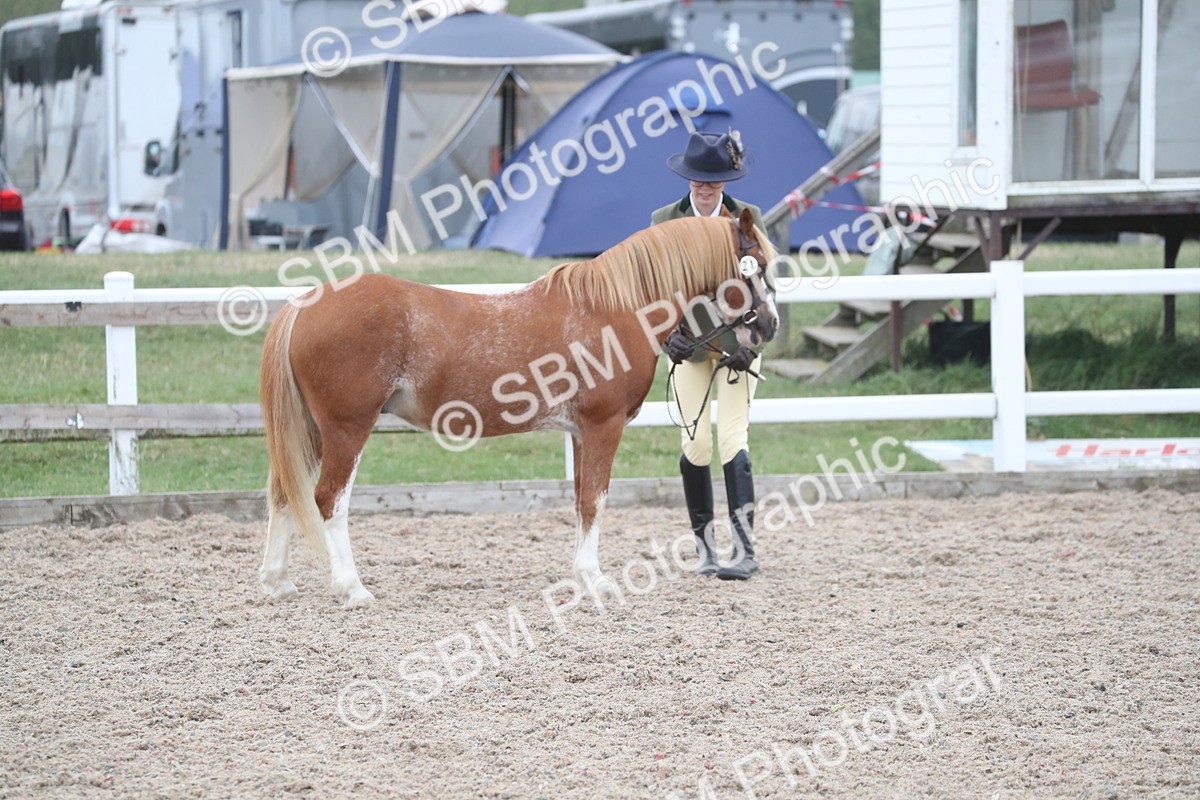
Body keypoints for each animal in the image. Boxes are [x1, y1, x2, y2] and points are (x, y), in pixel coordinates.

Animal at [257, 209, 780, 608]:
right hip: (347, 428)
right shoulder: (604, 426)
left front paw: (581, 576)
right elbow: (596, 500)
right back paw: (352, 589)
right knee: (329, 500)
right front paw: (597, 581)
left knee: (284, 492)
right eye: (754, 264)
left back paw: (278, 582)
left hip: (313, 431)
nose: (768, 327)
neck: (612, 307)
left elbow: (580, 501)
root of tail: (304, 304)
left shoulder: (579, 431)